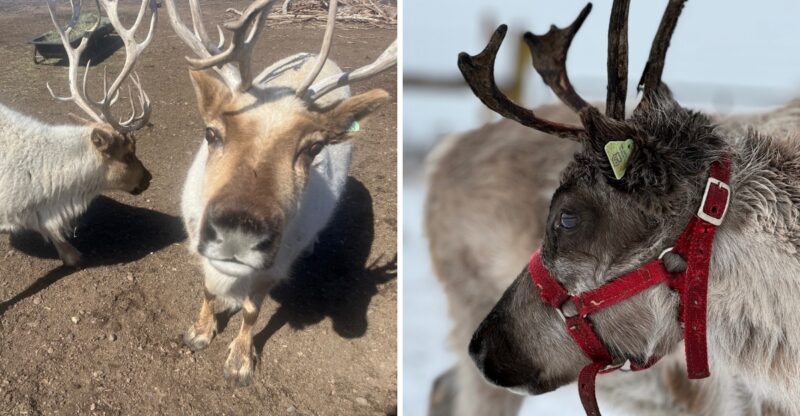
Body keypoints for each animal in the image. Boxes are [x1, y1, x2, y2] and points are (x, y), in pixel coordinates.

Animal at [162, 0, 396, 386]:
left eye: (314, 147)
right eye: (211, 132)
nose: (239, 230)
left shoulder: (274, 268)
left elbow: (252, 312)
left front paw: (240, 361)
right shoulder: (197, 244)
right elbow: (209, 291)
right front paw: (199, 332)